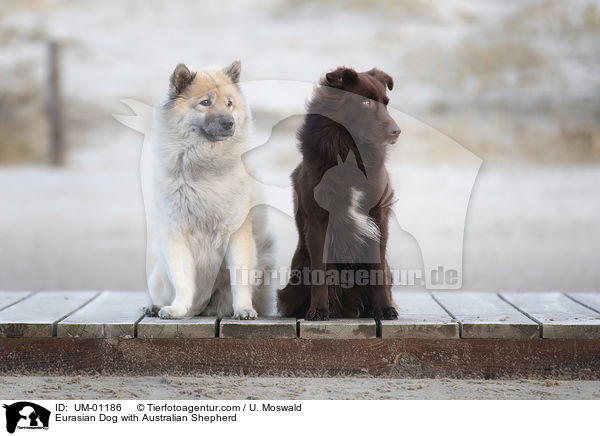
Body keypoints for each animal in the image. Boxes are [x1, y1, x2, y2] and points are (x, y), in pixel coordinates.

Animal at [278, 67, 400, 320]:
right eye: (365, 102)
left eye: (386, 103)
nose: (397, 132)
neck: (350, 151)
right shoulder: (318, 220)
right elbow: (320, 272)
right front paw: (318, 310)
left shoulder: (378, 217)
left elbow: (378, 270)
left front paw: (385, 308)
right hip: (298, 270)